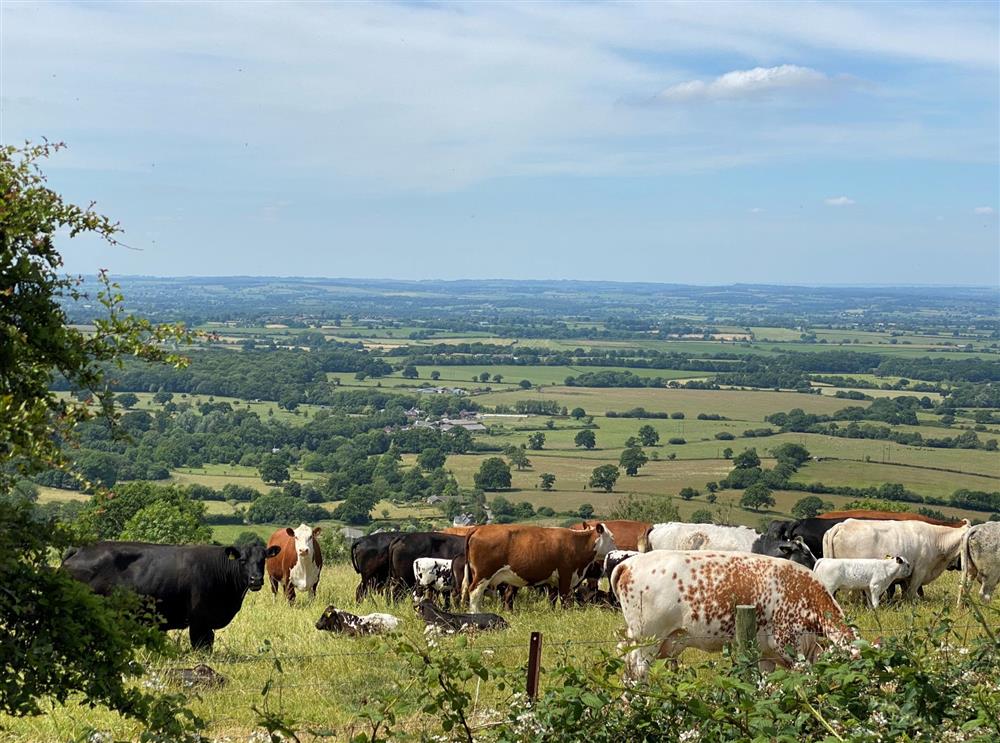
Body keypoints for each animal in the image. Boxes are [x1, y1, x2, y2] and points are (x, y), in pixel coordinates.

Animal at [60, 540, 280, 652]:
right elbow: (201, 646)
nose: (255, 580)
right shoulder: (199, 621)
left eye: (263, 560)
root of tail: (79, 549)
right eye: (242, 560)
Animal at [462, 524, 616, 612]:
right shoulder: (566, 575)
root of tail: (478, 528)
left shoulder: (553, 579)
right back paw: (476, 613)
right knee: (474, 592)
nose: (616, 549)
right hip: (483, 574)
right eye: (612, 538)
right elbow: (565, 598)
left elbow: (553, 598)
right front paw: (567, 613)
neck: (576, 543)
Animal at [608, 548, 852, 684]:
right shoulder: (789, 645)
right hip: (649, 639)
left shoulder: (767, 655)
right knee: (639, 670)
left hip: (635, 637)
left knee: (626, 664)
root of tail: (628, 563)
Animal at [820, 520, 968, 600]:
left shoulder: (907, 576)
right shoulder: (920, 571)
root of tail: (842, 525)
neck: (936, 539)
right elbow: (911, 592)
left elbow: (905, 591)